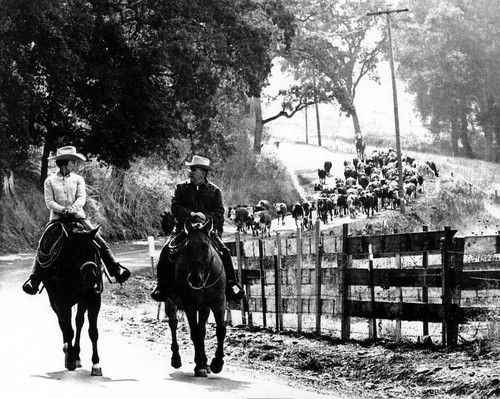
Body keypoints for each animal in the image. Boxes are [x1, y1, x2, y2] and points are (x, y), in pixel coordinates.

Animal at [40, 223, 104, 376]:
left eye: (94, 250)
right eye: (76, 252)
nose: (91, 278)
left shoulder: (93, 299)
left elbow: (93, 331)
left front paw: (96, 364)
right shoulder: (62, 302)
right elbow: (68, 329)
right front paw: (69, 360)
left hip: (82, 301)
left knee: (79, 321)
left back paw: (77, 354)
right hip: (55, 301)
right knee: (63, 323)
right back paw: (69, 352)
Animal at [165, 219, 226, 378]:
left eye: (205, 246)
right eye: (187, 247)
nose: (194, 278)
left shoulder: (218, 304)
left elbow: (220, 330)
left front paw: (216, 363)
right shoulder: (190, 306)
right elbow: (195, 333)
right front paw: (199, 366)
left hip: (204, 308)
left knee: (202, 330)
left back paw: (205, 363)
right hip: (170, 303)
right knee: (173, 324)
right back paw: (177, 359)